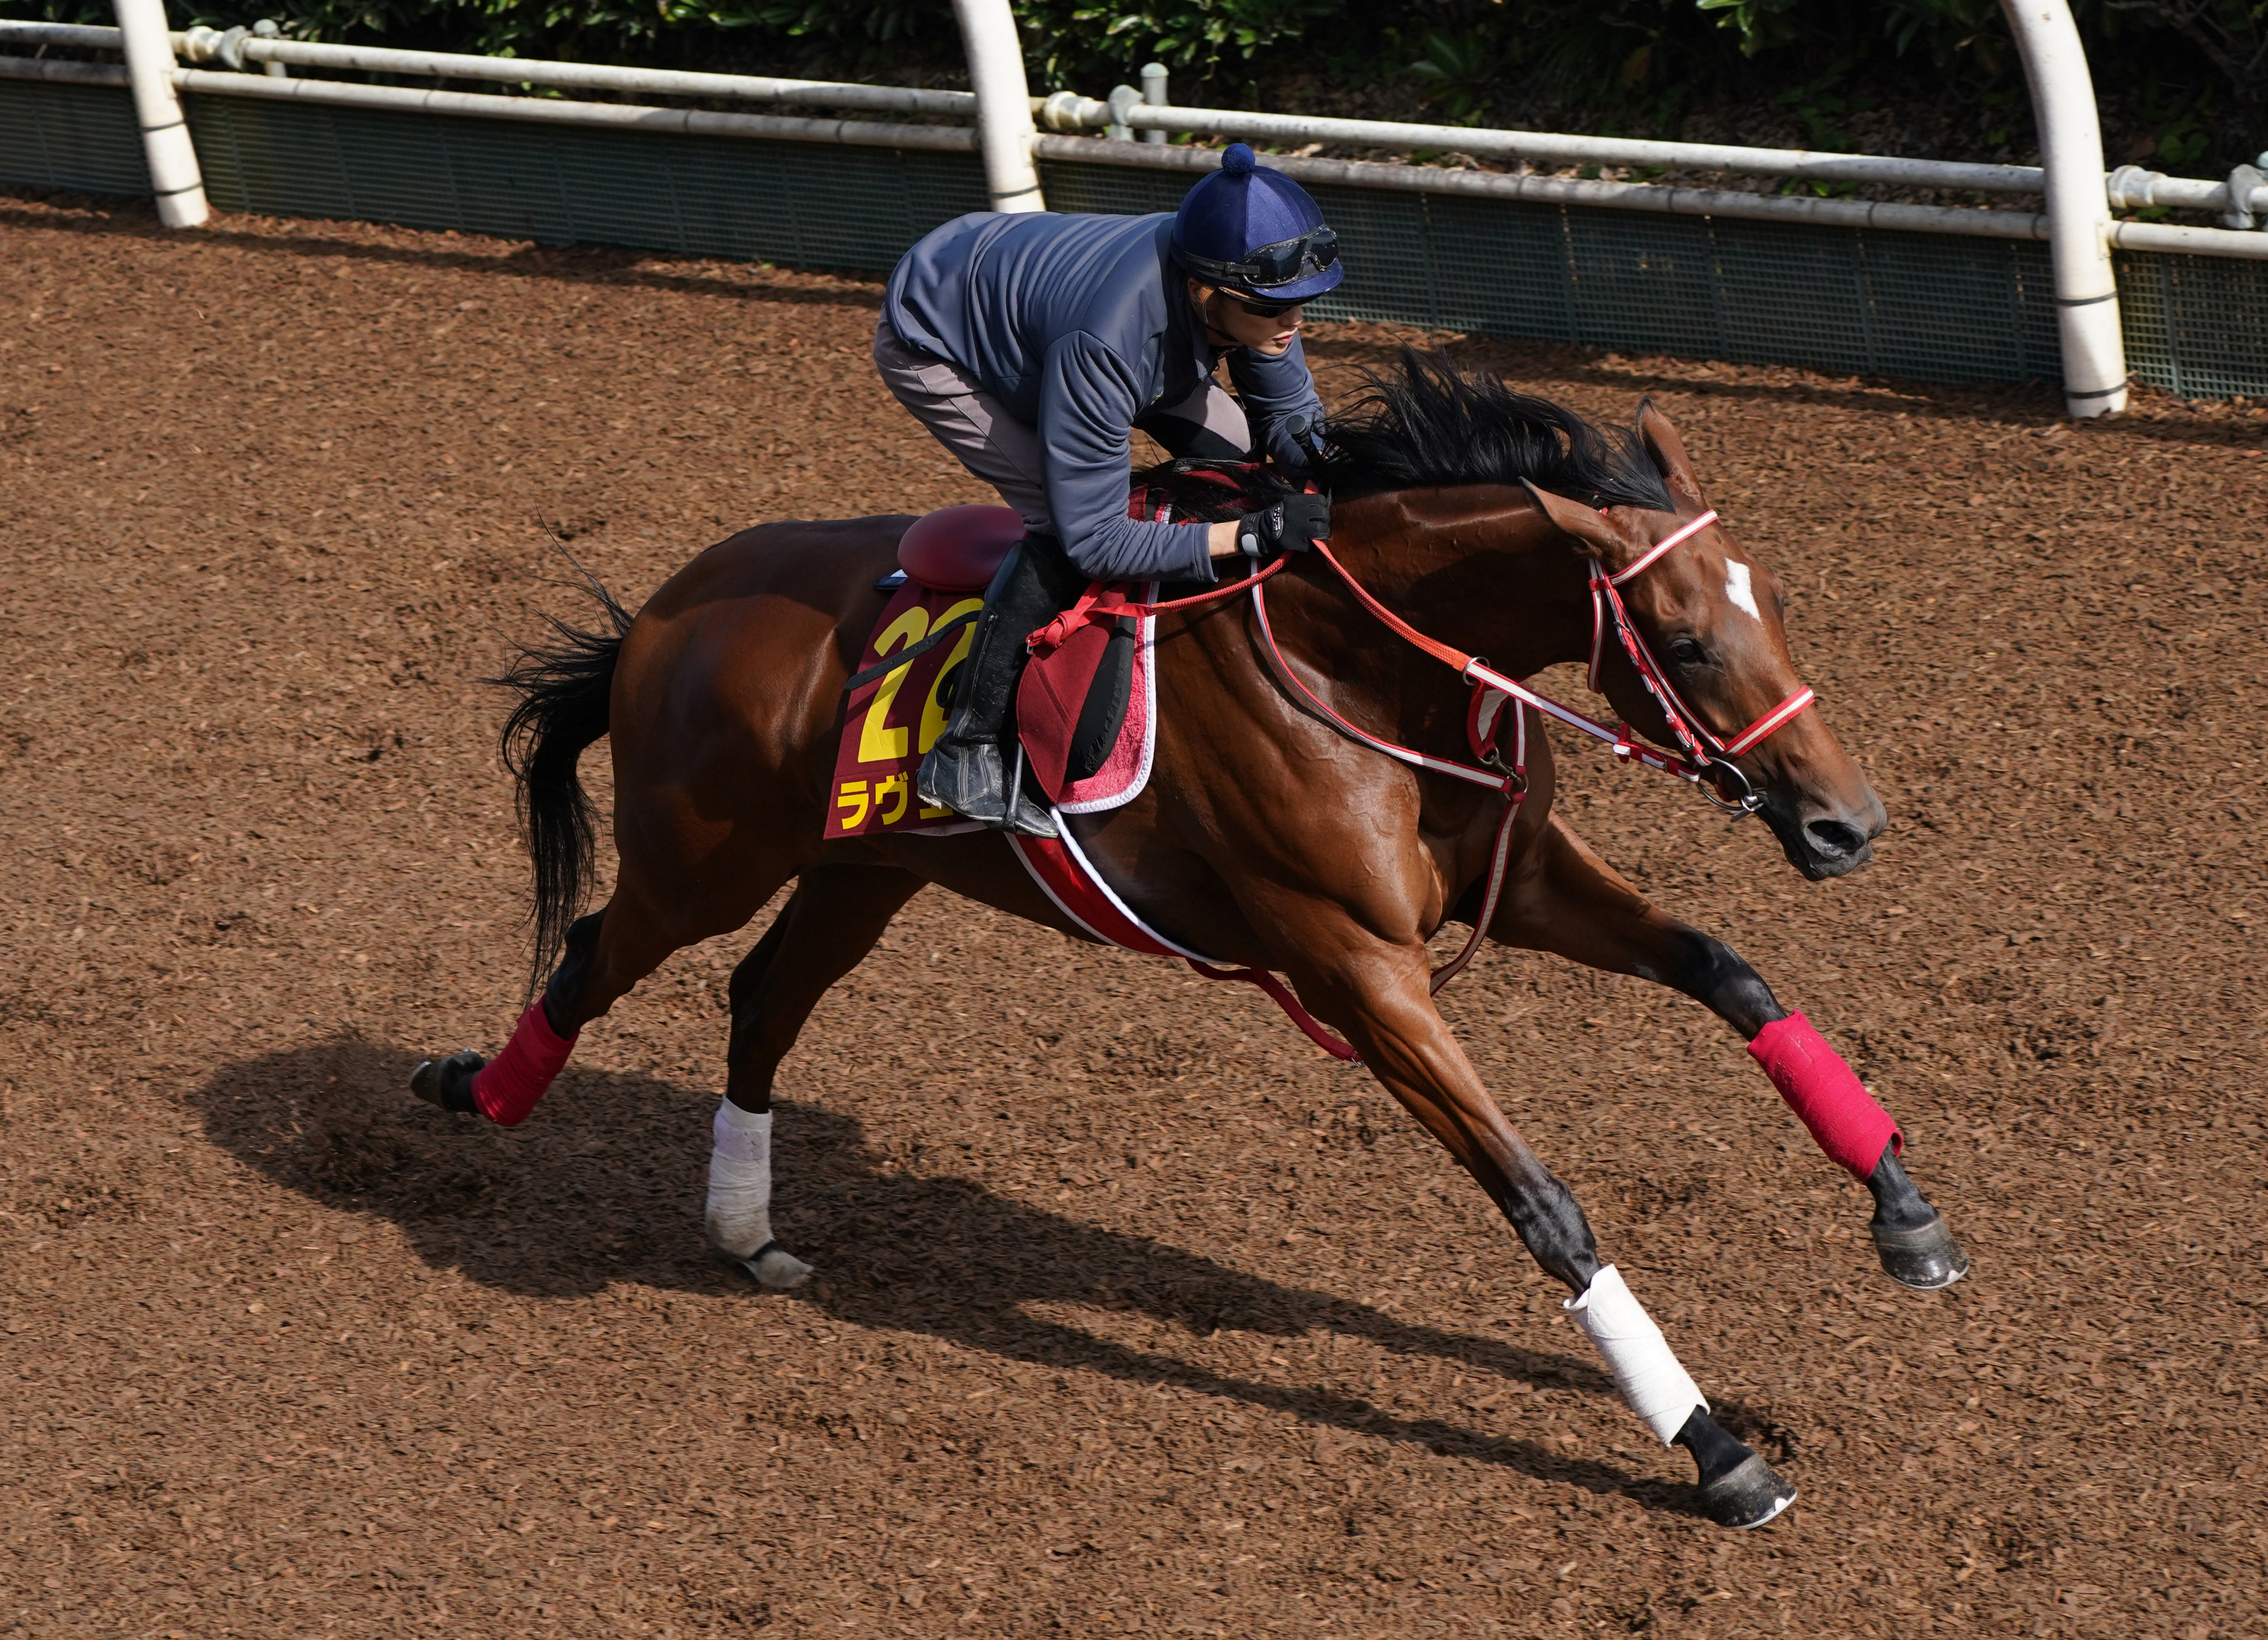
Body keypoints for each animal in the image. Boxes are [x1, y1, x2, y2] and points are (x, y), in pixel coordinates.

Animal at [412, 354, 1968, 1533]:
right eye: (1687, 642)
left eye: (1776, 604)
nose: (1845, 825)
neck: (1364, 662)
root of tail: (664, 614)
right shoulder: (1360, 966)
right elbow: (1546, 1205)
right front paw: (1712, 1448)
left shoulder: (1516, 887)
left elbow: (1726, 970)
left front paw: (1906, 1216)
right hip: (707, 856)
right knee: (597, 952)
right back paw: (471, 1092)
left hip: (867, 870)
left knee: (760, 997)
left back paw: (745, 1229)